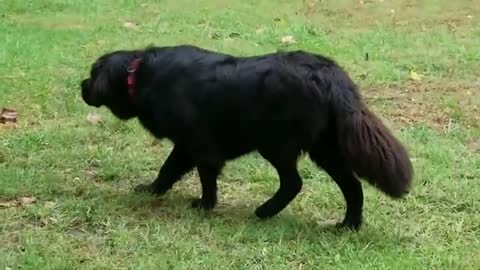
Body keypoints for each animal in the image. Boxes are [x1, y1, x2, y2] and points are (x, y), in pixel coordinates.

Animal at [79, 44, 412, 230]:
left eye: (93, 74)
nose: (81, 86)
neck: (139, 74)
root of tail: (332, 76)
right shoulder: (189, 145)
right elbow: (173, 170)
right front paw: (155, 190)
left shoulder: (196, 143)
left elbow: (191, 172)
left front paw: (203, 204)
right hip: (324, 148)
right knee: (352, 186)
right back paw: (348, 226)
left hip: (276, 144)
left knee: (294, 182)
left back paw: (265, 211)